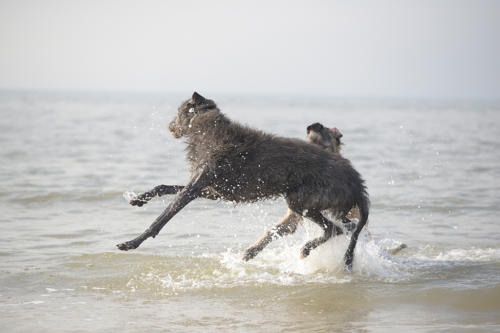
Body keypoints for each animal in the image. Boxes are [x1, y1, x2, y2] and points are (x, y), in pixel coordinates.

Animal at [116, 91, 368, 270]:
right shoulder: (211, 189)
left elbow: (163, 216)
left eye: (179, 111)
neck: (205, 128)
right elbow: (165, 187)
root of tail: (357, 182)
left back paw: (305, 248)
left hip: (303, 201)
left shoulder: (197, 186)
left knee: (335, 229)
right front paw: (139, 199)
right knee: (340, 228)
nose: (170, 128)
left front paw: (132, 242)